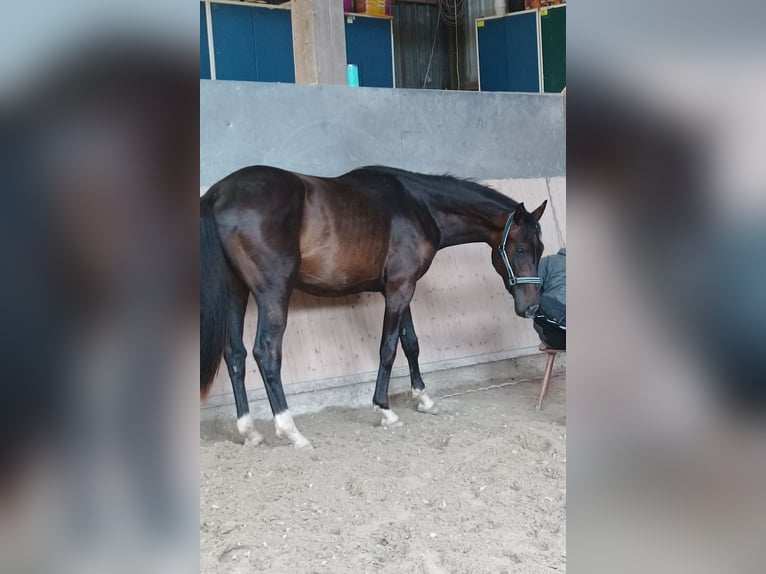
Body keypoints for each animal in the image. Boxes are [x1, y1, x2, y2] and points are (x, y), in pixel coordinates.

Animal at [198, 166, 544, 450]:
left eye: (540, 249)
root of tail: (218, 193)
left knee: (235, 355)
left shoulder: (401, 287)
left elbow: (411, 343)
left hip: (236, 292)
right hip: (273, 293)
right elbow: (388, 349)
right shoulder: (399, 288)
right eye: (520, 249)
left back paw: (250, 432)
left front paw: (423, 398)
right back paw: (291, 430)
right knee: (266, 352)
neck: (419, 205)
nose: (530, 308)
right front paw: (385, 409)